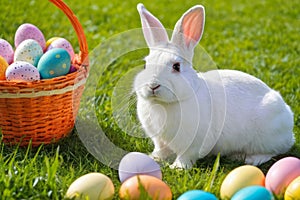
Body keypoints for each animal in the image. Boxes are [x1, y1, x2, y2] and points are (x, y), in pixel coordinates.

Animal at [135, 3, 294, 169]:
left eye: (176, 66)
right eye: (145, 64)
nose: (153, 85)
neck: (165, 104)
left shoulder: (194, 142)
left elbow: (186, 156)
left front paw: (178, 167)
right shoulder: (160, 140)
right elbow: (161, 151)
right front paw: (152, 158)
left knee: (272, 152)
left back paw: (249, 159)